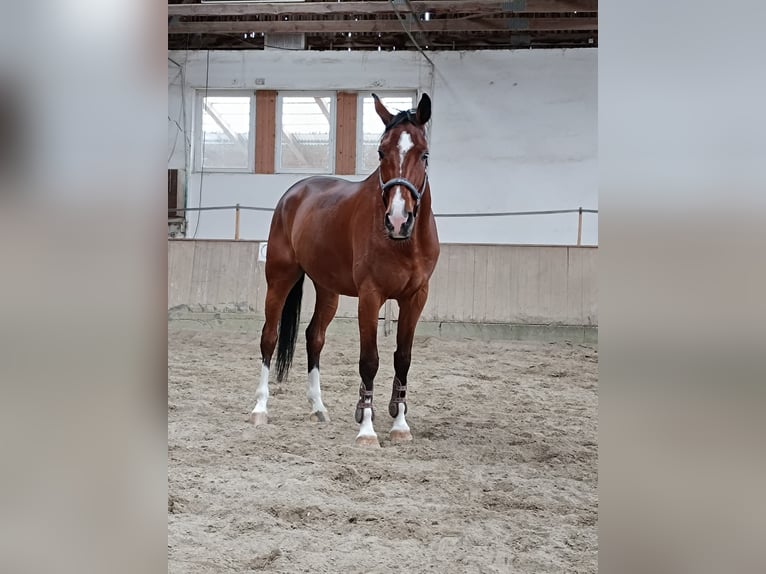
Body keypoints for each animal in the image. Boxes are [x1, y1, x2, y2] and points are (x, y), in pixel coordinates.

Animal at [248, 93, 439, 447]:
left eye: (424, 154)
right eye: (381, 152)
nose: (398, 219)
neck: (403, 243)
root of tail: (294, 194)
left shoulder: (415, 297)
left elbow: (402, 358)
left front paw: (400, 425)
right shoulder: (370, 296)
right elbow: (370, 360)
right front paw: (367, 429)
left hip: (328, 289)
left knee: (314, 338)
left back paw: (318, 408)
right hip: (279, 278)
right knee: (269, 337)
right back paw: (260, 409)